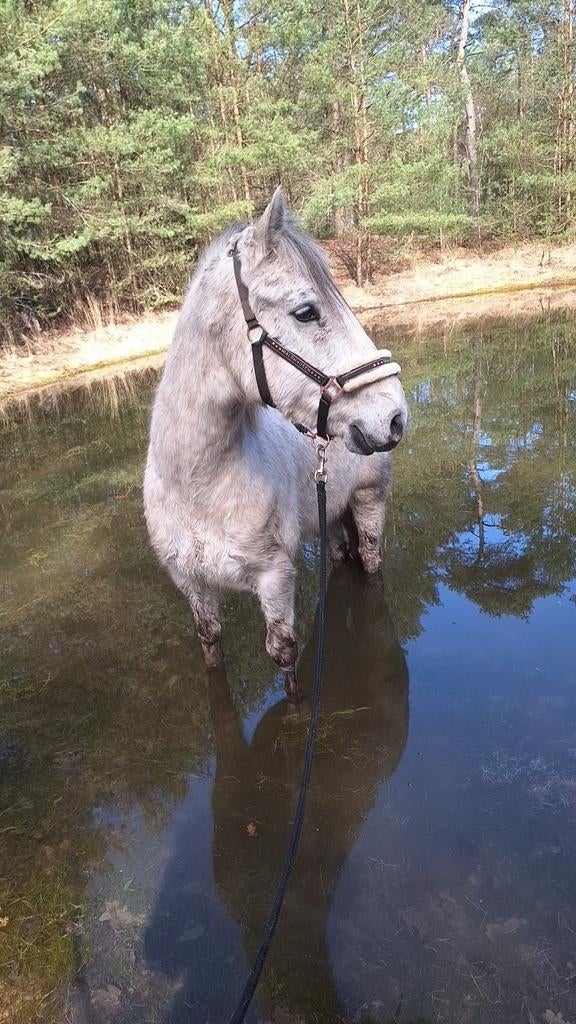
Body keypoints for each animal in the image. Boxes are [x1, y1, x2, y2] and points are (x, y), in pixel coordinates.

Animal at [144, 187, 409, 693]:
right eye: (306, 312)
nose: (394, 416)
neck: (199, 488)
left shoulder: (274, 577)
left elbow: (283, 654)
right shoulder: (193, 586)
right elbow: (211, 644)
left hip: (369, 501)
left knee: (369, 559)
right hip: (329, 515)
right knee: (340, 555)